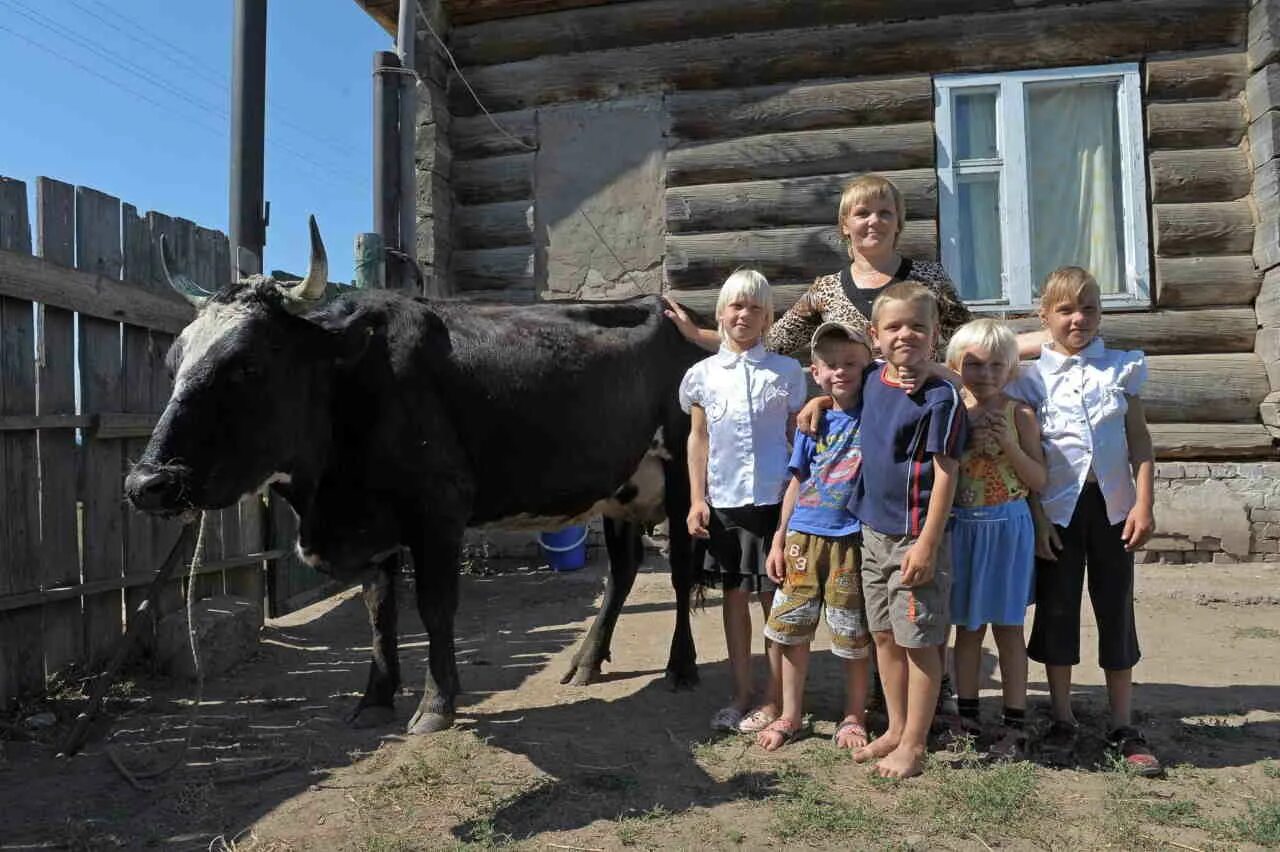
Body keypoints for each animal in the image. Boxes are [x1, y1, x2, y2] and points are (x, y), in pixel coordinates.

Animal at [124, 217, 706, 731]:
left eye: (248, 365)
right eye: (174, 362)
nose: (147, 485)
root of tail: (665, 309)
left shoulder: (439, 510)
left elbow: (435, 607)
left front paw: (435, 704)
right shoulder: (373, 524)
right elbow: (379, 612)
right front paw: (374, 700)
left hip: (683, 481)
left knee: (680, 573)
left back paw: (681, 667)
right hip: (623, 488)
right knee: (623, 571)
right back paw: (586, 661)